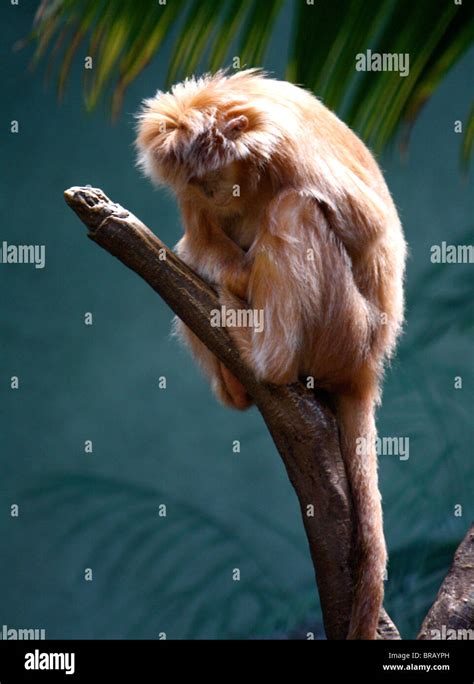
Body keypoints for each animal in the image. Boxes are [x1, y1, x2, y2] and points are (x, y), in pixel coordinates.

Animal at [136, 69, 407, 640]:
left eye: (214, 173)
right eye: (195, 182)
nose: (209, 191)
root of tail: (369, 365)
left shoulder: (293, 151)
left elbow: (371, 229)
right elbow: (198, 243)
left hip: (345, 333)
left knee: (296, 207)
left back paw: (265, 357)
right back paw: (237, 380)